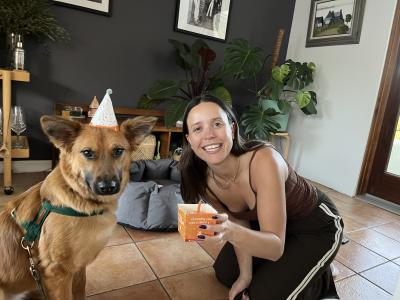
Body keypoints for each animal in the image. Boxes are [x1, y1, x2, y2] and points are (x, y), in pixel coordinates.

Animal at [0, 115, 156, 300]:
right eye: (87, 153)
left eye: (118, 151)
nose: (107, 187)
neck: (79, 200)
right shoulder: (57, 273)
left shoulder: (79, 267)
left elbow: (80, 291)